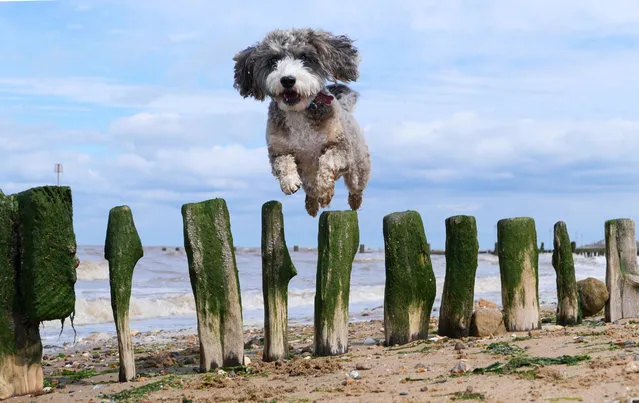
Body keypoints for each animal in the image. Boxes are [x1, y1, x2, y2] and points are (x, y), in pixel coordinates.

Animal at [232, 28, 372, 218]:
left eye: (304, 57)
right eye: (273, 60)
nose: (287, 80)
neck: (298, 112)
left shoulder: (340, 148)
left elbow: (327, 161)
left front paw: (324, 189)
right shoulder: (278, 150)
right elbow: (283, 163)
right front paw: (290, 182)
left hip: (358, 167)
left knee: (356, 187)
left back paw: (352, 201)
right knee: (310, 189)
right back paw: (312, 204)